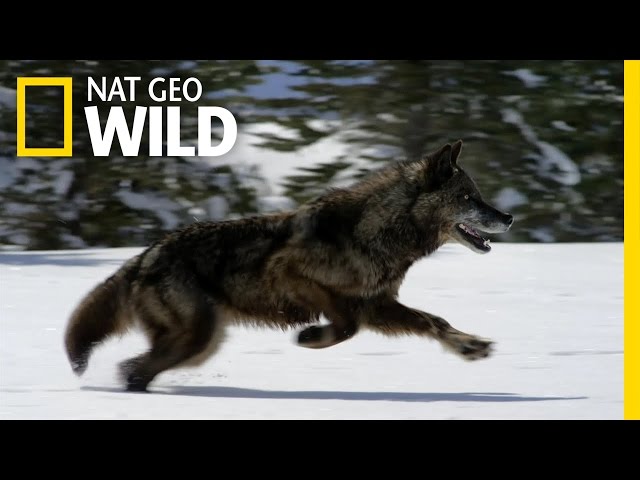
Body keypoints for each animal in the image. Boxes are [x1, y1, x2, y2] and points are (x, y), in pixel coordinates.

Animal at [64, 139, 514, 391]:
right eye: (469, 198)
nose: (508, 217)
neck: (377, 231)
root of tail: (144, 256)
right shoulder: (291, 273)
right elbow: (344, 326)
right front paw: (312, 337)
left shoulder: (377, 305)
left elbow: (434, 321)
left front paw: (470, 346)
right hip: (198, 338)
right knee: (134, 370)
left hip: (201, 343)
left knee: (134, 369)